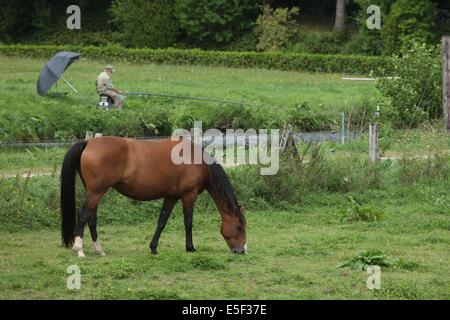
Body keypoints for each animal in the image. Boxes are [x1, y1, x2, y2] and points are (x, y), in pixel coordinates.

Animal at [60, 135, 246, 258]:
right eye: (239, 227)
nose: (242, 250)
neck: (194, 160)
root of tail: (88, 142)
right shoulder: (189, 195)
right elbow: (188, 222)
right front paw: (190, 247)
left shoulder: (171, 197)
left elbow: (162, 221)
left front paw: (153, 248)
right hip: (96, 192)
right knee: (83, 215)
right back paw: (79, 249)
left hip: (94, 192)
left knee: (91, 219)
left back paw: (99, 250)